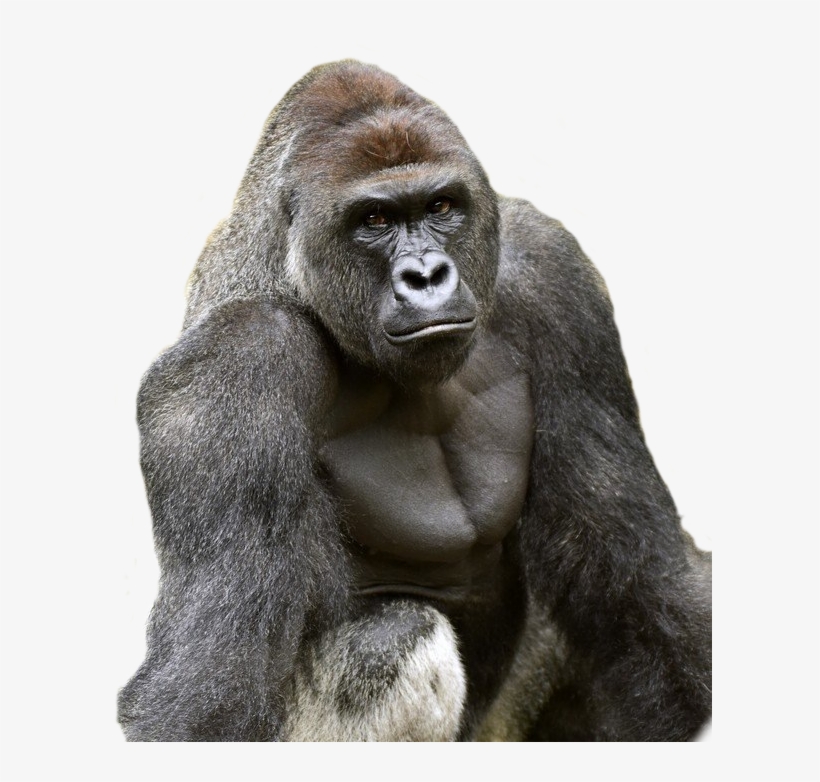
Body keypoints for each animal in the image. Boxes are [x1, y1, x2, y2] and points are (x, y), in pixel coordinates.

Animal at [118, 60, 711, 741]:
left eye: (441, 206)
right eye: (374, 221)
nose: (426, 276)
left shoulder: (552, 273)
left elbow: (646, 583)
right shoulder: (235, 362)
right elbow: (210, 686)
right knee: (397, 637)